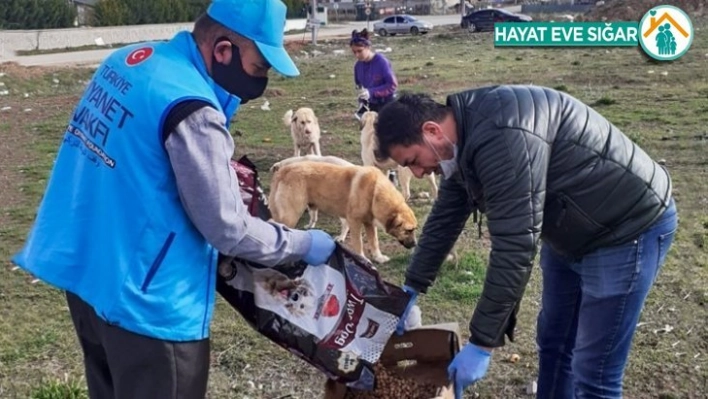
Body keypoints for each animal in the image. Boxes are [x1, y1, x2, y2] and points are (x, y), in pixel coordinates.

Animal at [268, 161, 418, 264]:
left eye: (414, 229)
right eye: (408, 230)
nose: (415, 244)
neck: (375, 192)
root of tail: (284, 170)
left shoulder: (369, 223)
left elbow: (374, 241)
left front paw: (378, 257)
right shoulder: (355, 221)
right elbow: (358, 243)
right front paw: (363, 259)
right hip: (290, 216)